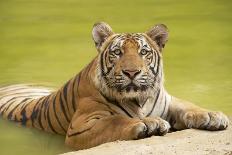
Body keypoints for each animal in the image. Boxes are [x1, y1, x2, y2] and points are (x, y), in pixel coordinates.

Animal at [0, 21, 228, 150]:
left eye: (143, 52)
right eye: (117, 52)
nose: (131, 72)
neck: (139, 99)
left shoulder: (168, 101)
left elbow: (189, 106)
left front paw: (212, 116)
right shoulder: (81, 126)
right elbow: (115, 120)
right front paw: (148, 123)